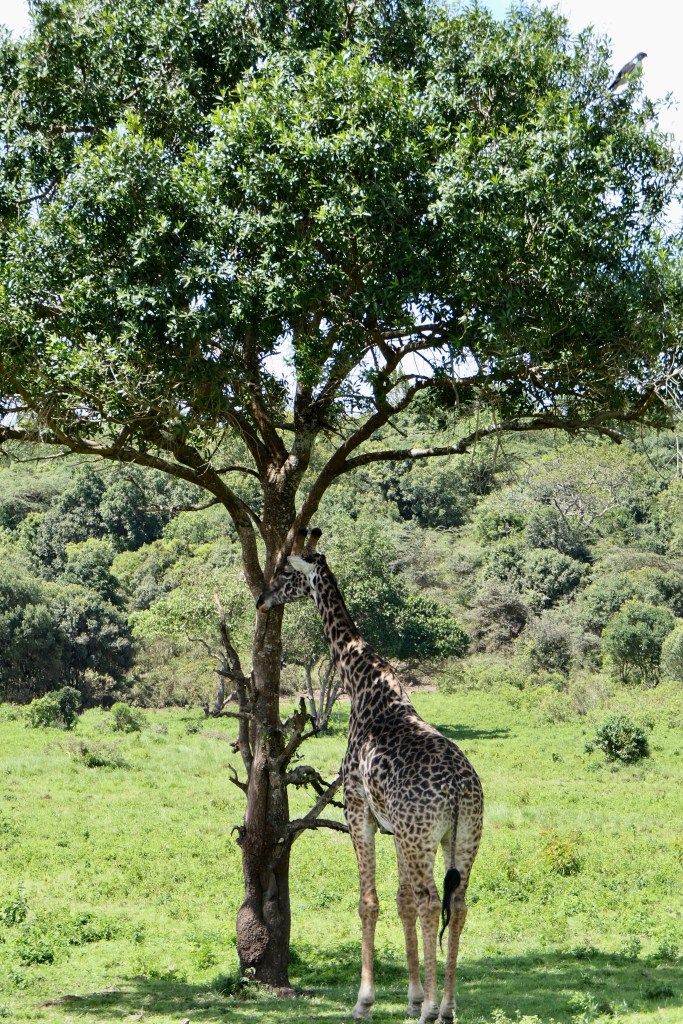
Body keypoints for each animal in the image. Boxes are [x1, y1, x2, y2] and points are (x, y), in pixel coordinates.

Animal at [256, 528, 483, 1024]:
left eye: (285, 571)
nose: (262, 599)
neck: (361, 682)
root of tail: (460, 790)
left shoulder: (359, 809)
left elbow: (370, 902)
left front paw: (366, 1000)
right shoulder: (393, 827)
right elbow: (399, 901)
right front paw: (412, 997)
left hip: (422, 836)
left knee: (431, 900)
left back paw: (434, 1009)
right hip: (462, 837)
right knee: (455, 903)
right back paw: (448, 1006)